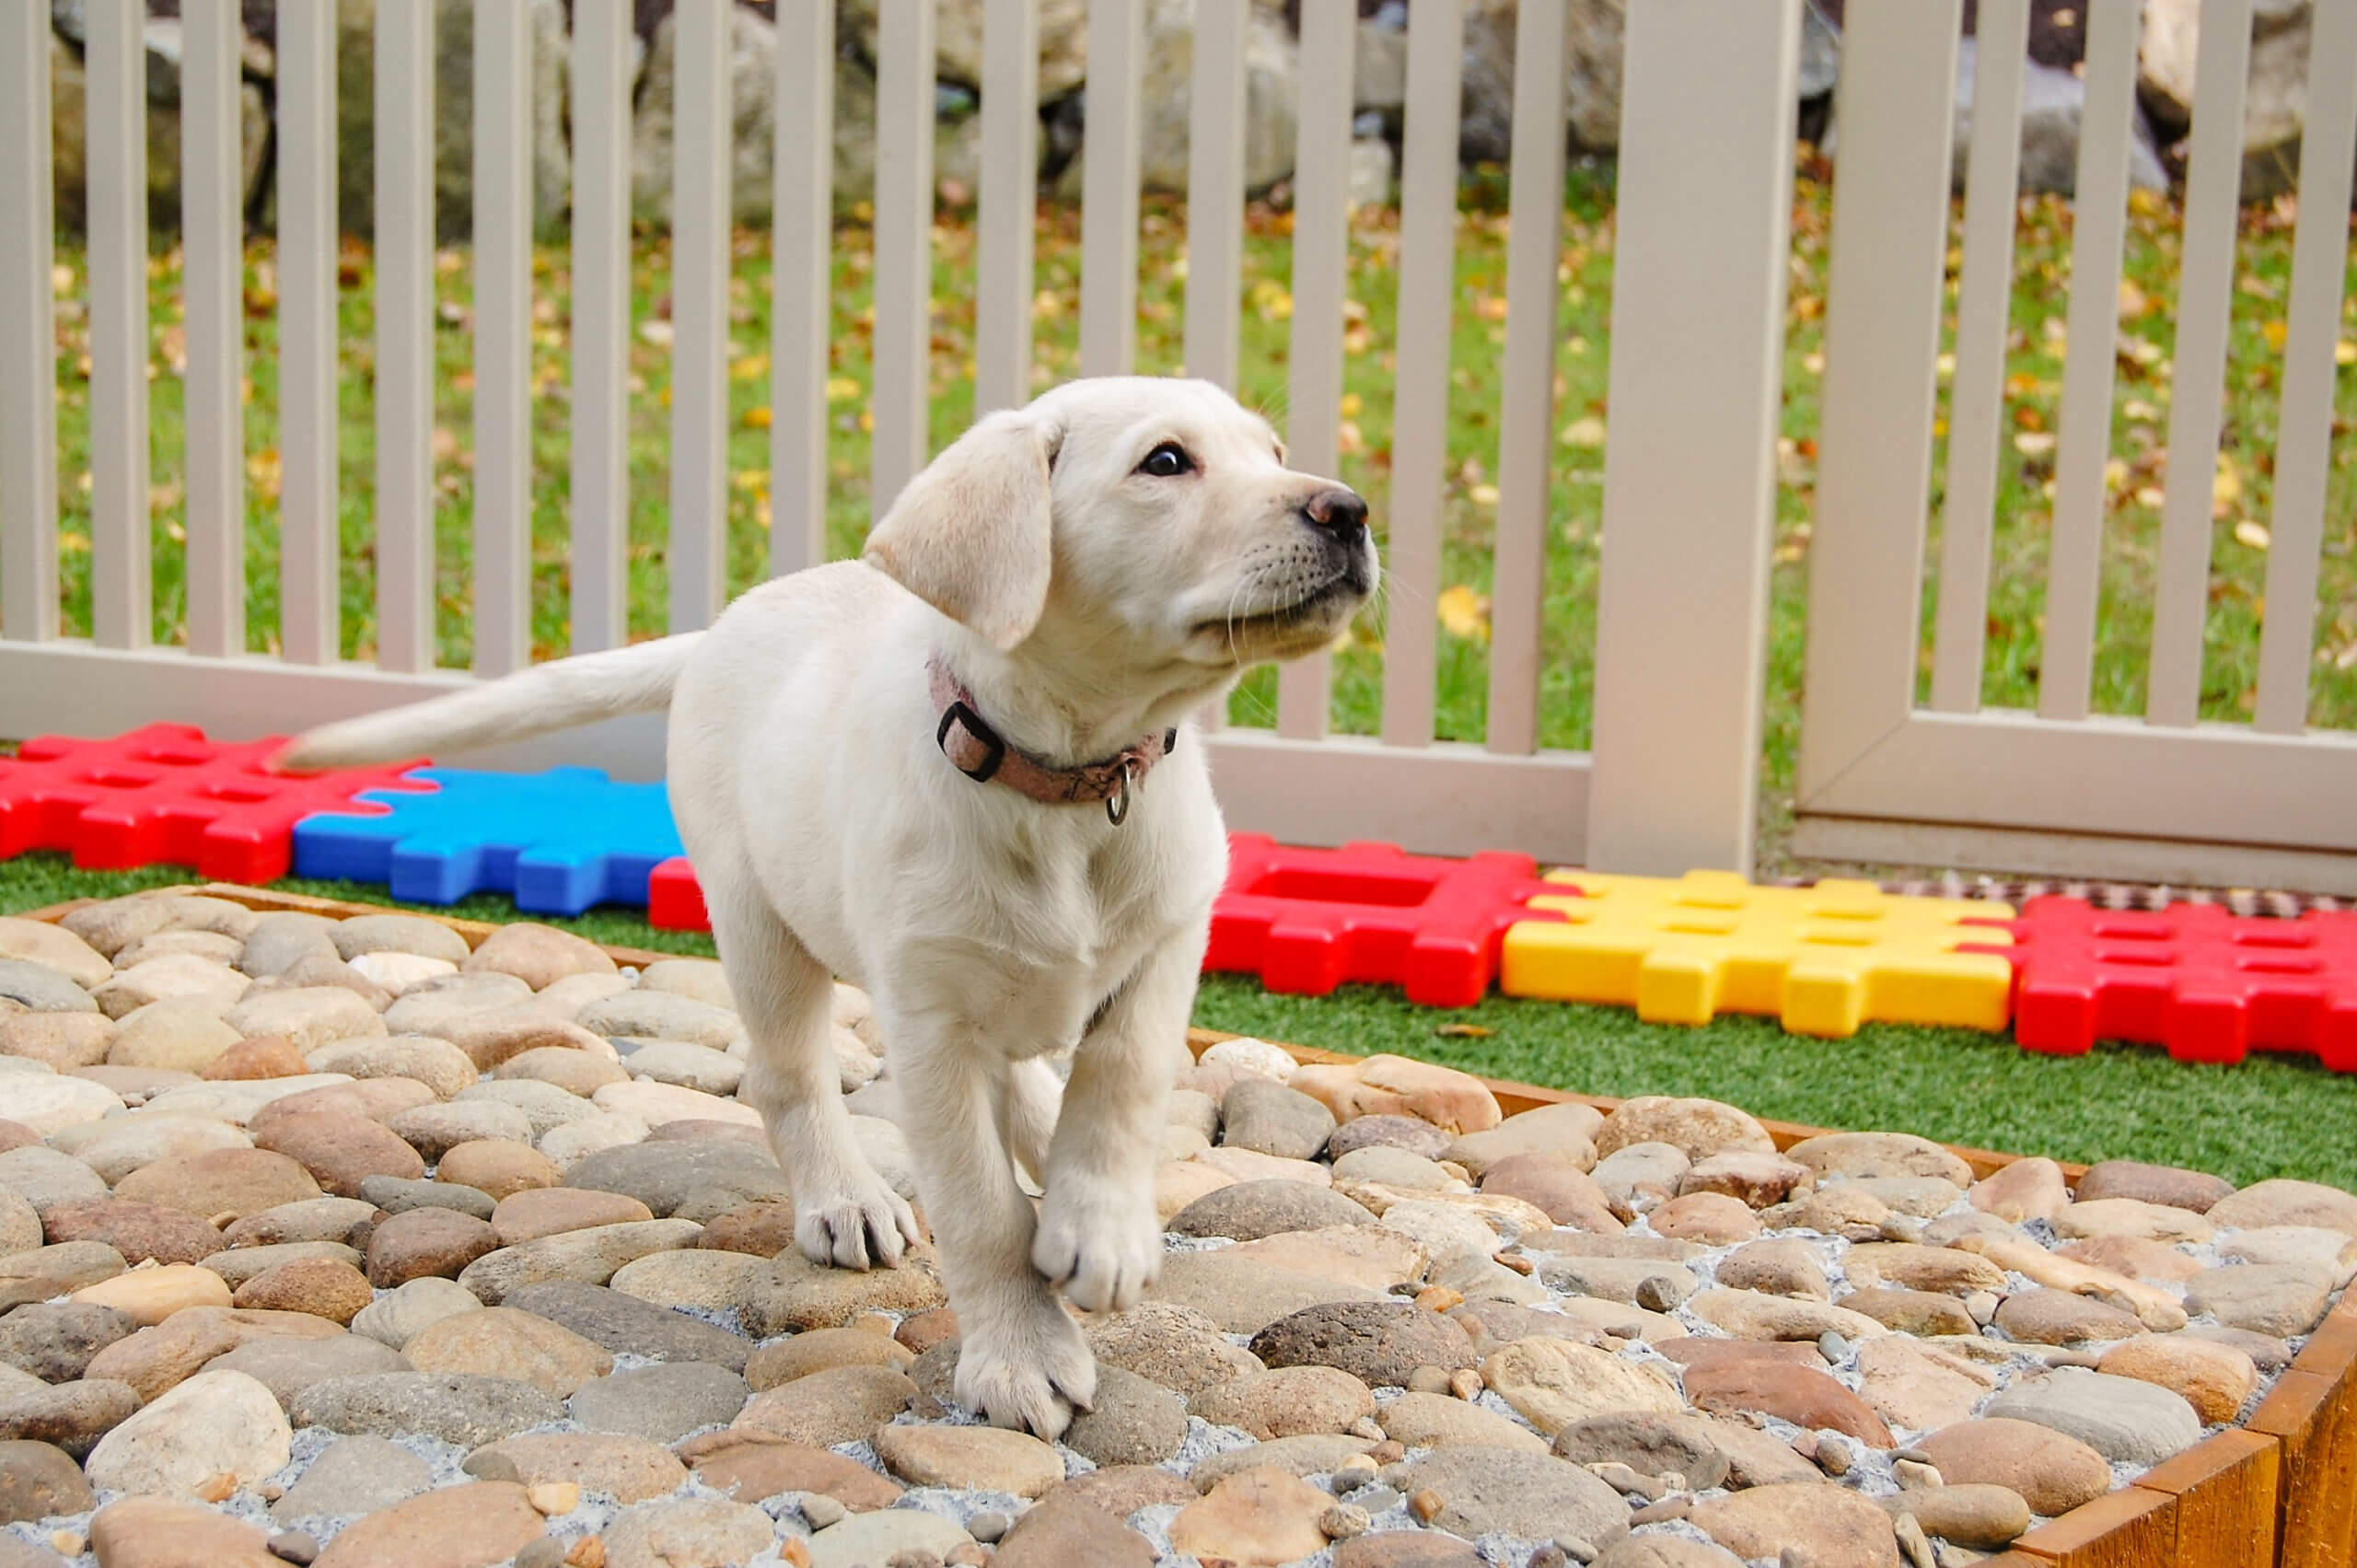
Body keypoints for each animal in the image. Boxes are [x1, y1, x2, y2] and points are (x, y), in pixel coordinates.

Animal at [283, 377, 1376, 1434]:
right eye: (1166, 462)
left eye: (1273, 453)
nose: (1351, 510)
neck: (1067, 785)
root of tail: (726, 624)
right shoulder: (929, 1021)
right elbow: (981, 1207)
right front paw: (1021, 1354)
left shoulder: (1169, 935)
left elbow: (1123, 1075)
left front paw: (1099, 1226)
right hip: (761, 926)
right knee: (789, 1075)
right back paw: (845, 1196)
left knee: (1025, 1072)